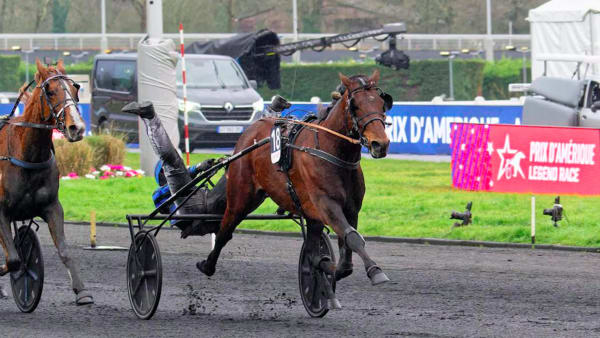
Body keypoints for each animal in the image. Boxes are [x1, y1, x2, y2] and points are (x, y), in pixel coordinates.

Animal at [0, 59, 93, 304]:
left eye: (75, 88)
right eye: (50, 91)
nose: (77, 127)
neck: (27, 154)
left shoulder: (52, 206)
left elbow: (64, 250)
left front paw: (82, 291)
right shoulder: (0, 211)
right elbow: (13, 259)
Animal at [198, 70, 394, 292]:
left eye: (381, 103)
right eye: (356, 105)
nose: (380, 144)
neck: (332, 152)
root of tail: (254, 127)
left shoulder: (350, 208)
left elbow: (345, 257)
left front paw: (327, 268)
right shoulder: (326, 204)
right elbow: (352, 237)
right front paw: (375, 271)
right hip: (241, 196)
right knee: (225, 228)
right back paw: (207, 264)